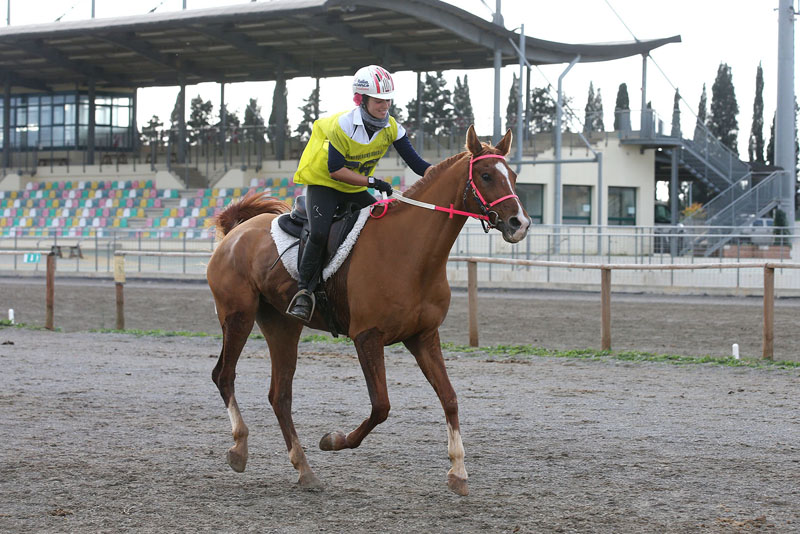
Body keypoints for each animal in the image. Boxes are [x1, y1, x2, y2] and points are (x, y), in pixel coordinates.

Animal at [208, 126, 532, 498]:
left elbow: (449, 398)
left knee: (280, 396)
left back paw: (304, 469)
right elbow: (381, 406)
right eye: (486, 175)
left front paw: (459, 471)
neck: (410, 253)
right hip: (238, 316)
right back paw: (239, 448)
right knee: (224, 375)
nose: (520, 223)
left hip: (283, 326)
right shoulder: (367, 338)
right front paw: (333, 440)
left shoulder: (423, 337)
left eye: (513, 176)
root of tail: (235, 231)